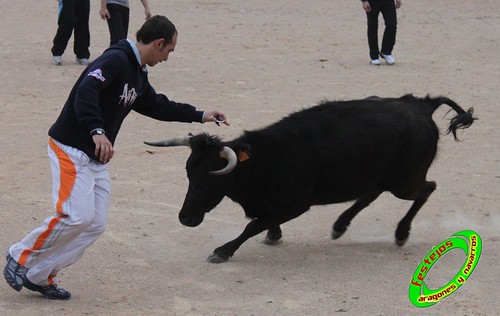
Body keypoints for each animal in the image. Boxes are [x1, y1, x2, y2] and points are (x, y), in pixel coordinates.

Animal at [144, 94, 472, 264]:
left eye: (211, 180)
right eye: (189, 174)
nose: (185, 218)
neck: (267, 159)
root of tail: (420, 104)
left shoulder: (296, 205)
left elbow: (252, 225)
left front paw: (223, 251)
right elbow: (262, 220)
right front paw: (273, 235)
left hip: (405, 181)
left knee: (427, 188)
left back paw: (401, 233)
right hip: (383, 177)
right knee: (371, 193)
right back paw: (340, 227)